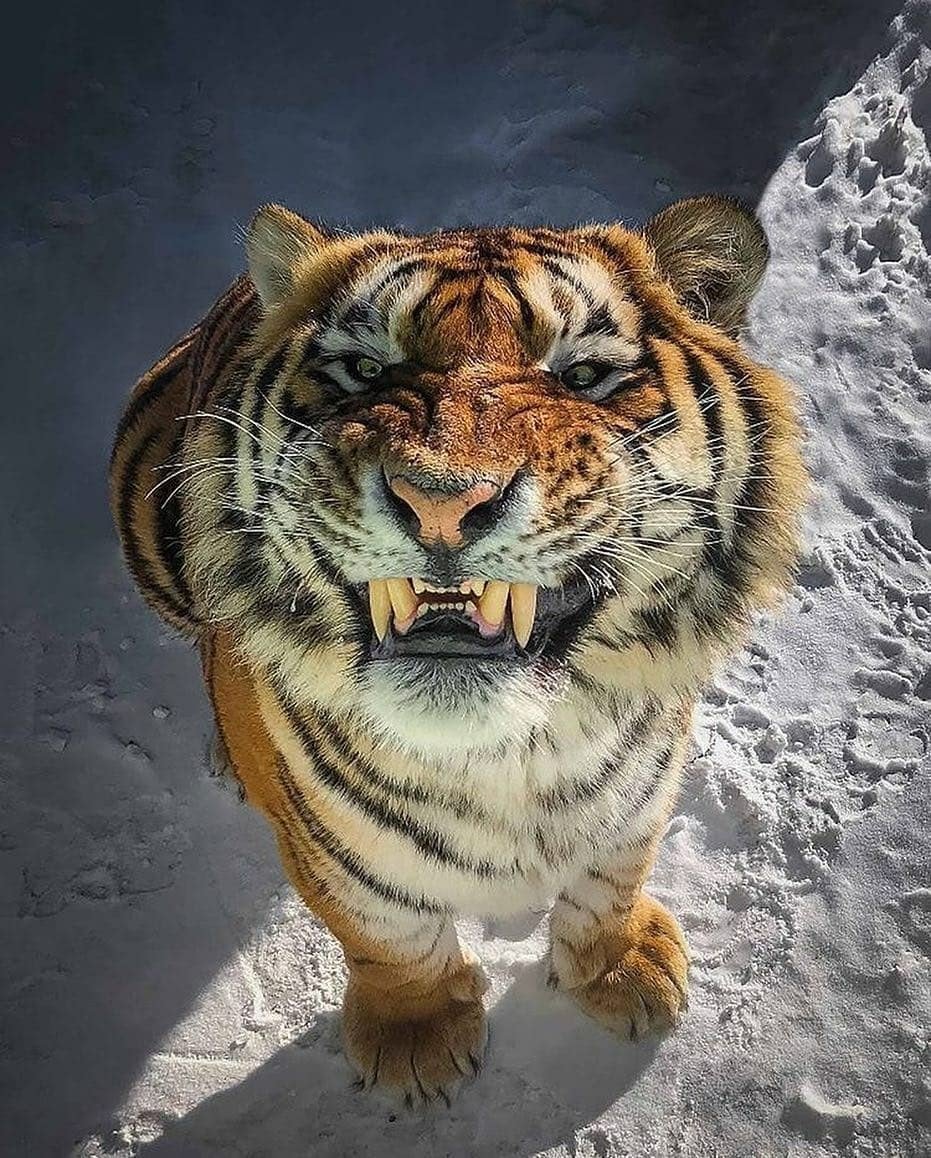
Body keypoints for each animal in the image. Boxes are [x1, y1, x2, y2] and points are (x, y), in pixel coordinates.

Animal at [109, 196, 806, 1106]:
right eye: (364, 369)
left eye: (581, 375)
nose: (439, 500)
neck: (511, 755)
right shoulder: (330, 851)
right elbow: (384, 931)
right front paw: (417, 1039)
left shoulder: (640, 792)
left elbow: (612, 878)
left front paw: (620, 970)